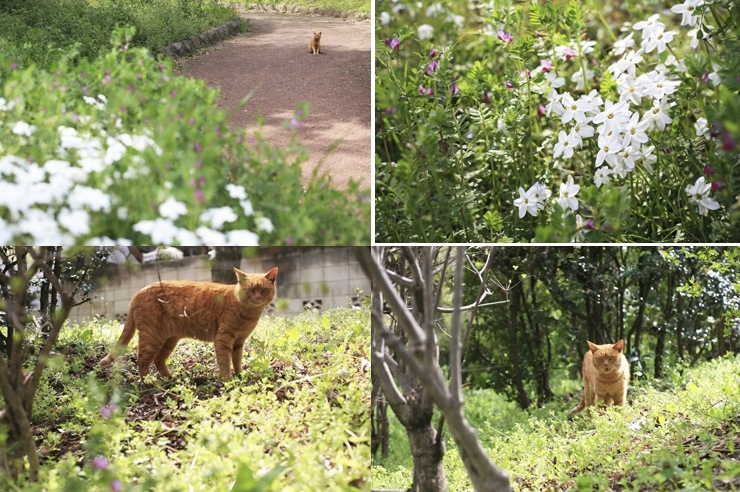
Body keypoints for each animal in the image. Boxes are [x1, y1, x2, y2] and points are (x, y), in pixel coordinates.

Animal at [98, 270, 278, 380]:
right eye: (250, 290)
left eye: (263, 290)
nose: (257, 298)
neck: (248, 313)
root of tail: (138, 292)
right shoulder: (223, 339)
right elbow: (225, 362)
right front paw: (228, 380)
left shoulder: (239, 342)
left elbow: (237, 361)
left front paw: (240, 376)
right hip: (152, 337)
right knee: (142, 360)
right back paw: (150, 383)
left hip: (169, 339)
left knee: (158, 360)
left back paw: (170, 379)